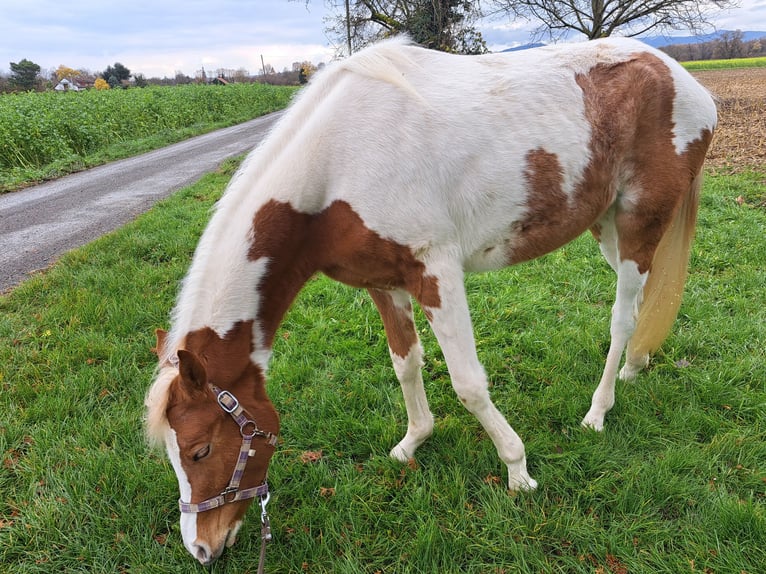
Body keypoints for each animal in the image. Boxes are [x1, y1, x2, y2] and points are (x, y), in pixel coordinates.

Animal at [144, 37, 720, 568]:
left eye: (199, 449)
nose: (201, 547)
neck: (338, 162)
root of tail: (682, 79)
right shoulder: (385, 283)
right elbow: (406, 363)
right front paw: (414, 440)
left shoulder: (436, 273)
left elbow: (468, 383)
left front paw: (517, 470)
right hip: (606, 226)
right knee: (642, 305)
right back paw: (635, 367)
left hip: (640, 222)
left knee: (621, 318)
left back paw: (599, 410)